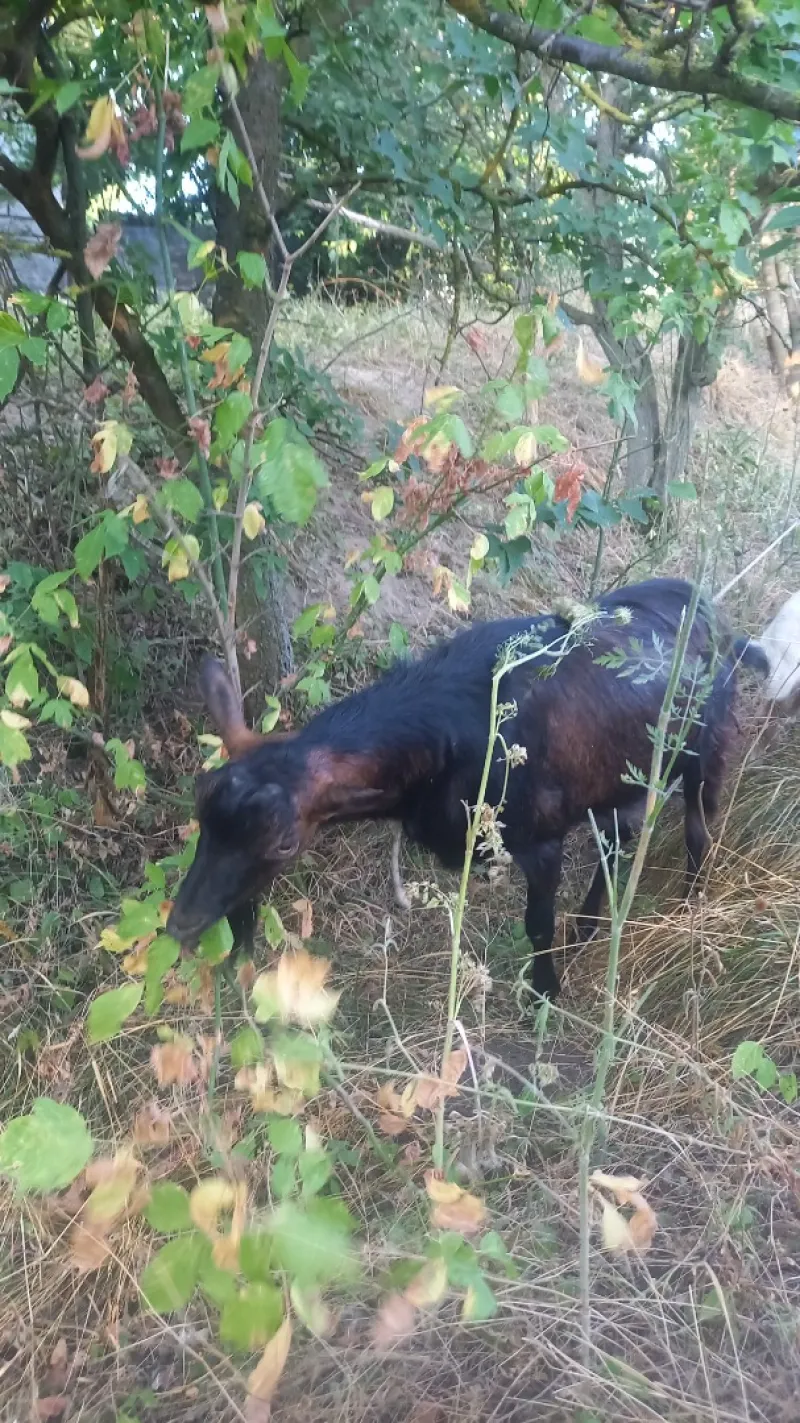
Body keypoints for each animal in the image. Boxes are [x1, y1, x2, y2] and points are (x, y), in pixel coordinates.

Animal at [165, 577, 762, 1001]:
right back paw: (590, 925)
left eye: (284, 843)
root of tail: (716, 616)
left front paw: (545, 993)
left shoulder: (539, 837)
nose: (180, 926)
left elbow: (537, 924)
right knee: (618, 838)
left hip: (702, 750)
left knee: (696, 826)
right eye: (202, 809)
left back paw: (689, 904)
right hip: (619, 774)